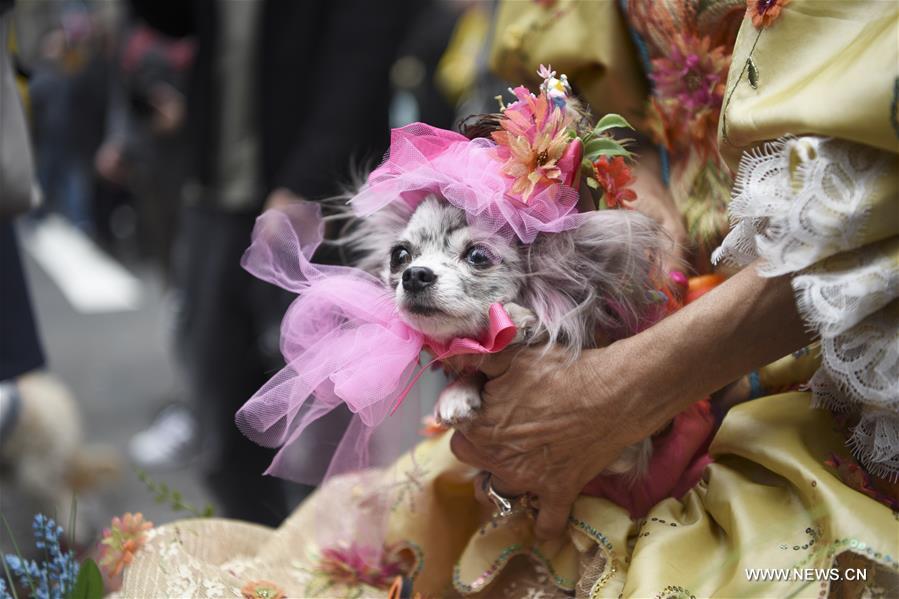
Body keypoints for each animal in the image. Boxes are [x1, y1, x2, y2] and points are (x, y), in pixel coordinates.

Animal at [344, 192, 668, 478]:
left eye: (477, 255)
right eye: (399, 256)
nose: (414, 275)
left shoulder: (626, 447)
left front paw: (518, 318)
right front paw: (457, 392)